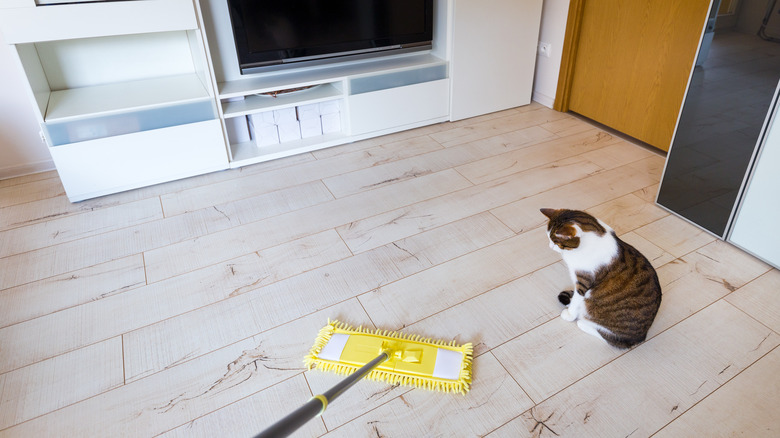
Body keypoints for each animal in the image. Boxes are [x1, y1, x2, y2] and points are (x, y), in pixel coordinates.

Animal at [544, 209, 664, 350]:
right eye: (549, 238)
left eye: (556, 242)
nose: (550, 246)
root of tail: (641, 338)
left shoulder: (583, 282)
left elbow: (577, 300)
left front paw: (569, 314)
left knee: (611, 339)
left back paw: (583, 323)